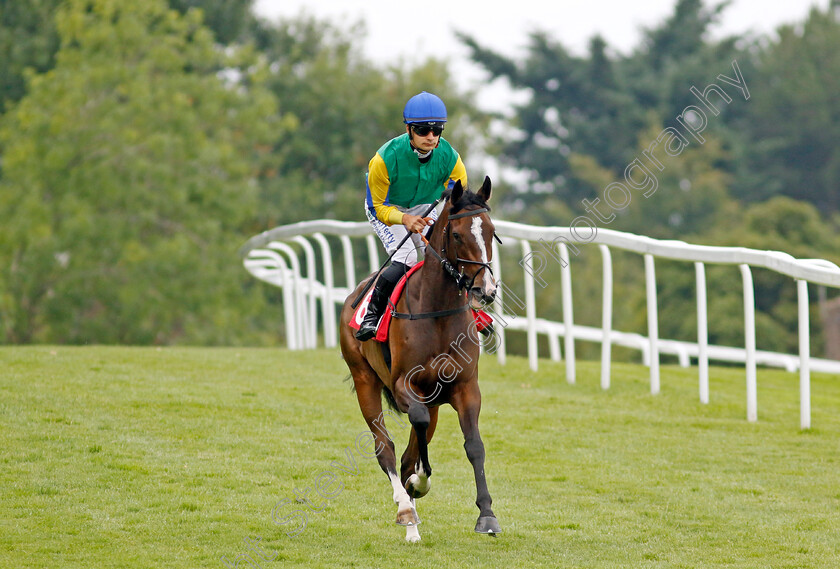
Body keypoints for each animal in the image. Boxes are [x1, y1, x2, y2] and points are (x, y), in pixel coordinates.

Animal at [338, 176, 502, 540]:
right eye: (457, 235)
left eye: (490, 231)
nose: (485, 290)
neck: (437, 311)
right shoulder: (404, 385)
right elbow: (415, 437)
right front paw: (418, 484)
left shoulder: (465, 387)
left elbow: (474, 445)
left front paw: (487, 515)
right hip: (365, 378)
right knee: (385, 447)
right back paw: (405, 510)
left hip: (434, 399)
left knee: (409, 449)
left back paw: (412, 516)